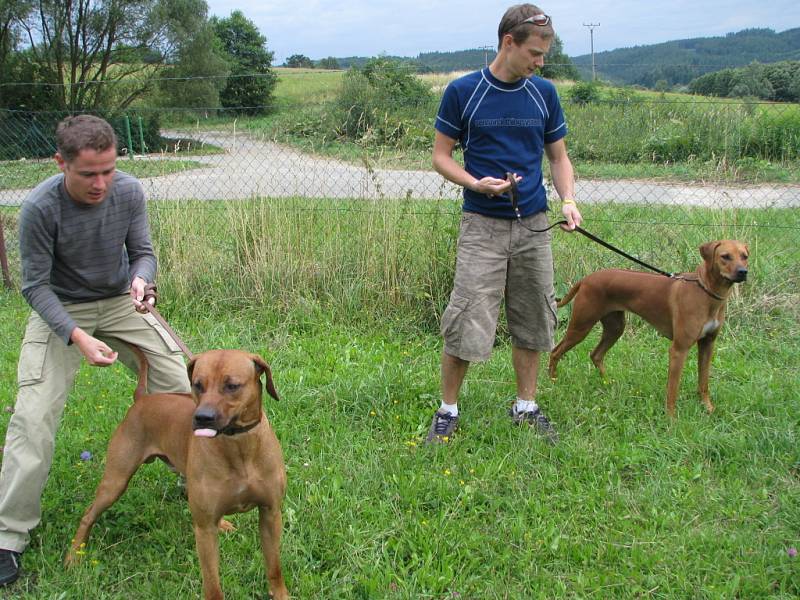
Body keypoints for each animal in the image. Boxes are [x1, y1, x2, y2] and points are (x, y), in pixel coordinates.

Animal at [66, 346, 290, 600]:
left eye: (232, 385)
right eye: (198, 384)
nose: (202, 418)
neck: (238, 447)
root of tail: (142, 398)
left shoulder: (270, 514)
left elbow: (274, 566)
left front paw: (280, 594)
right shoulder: (204, 532)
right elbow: (212, 583)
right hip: (115, 482)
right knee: (88, 515)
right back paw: (73, 557)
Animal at [548, 239, 748, 418]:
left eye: (745, 256)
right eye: (725, 256)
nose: (743, 272)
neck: (706, 291)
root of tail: (586, 279)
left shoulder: (708, 344)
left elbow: (704, 383)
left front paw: (708, 408)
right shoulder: (679, 349)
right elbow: (672, 389)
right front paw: (671, 419)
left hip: (615, 328)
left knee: (596, 354)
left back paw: (608, 383)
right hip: (581, 326)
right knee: (555, 351)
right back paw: (552, 381)